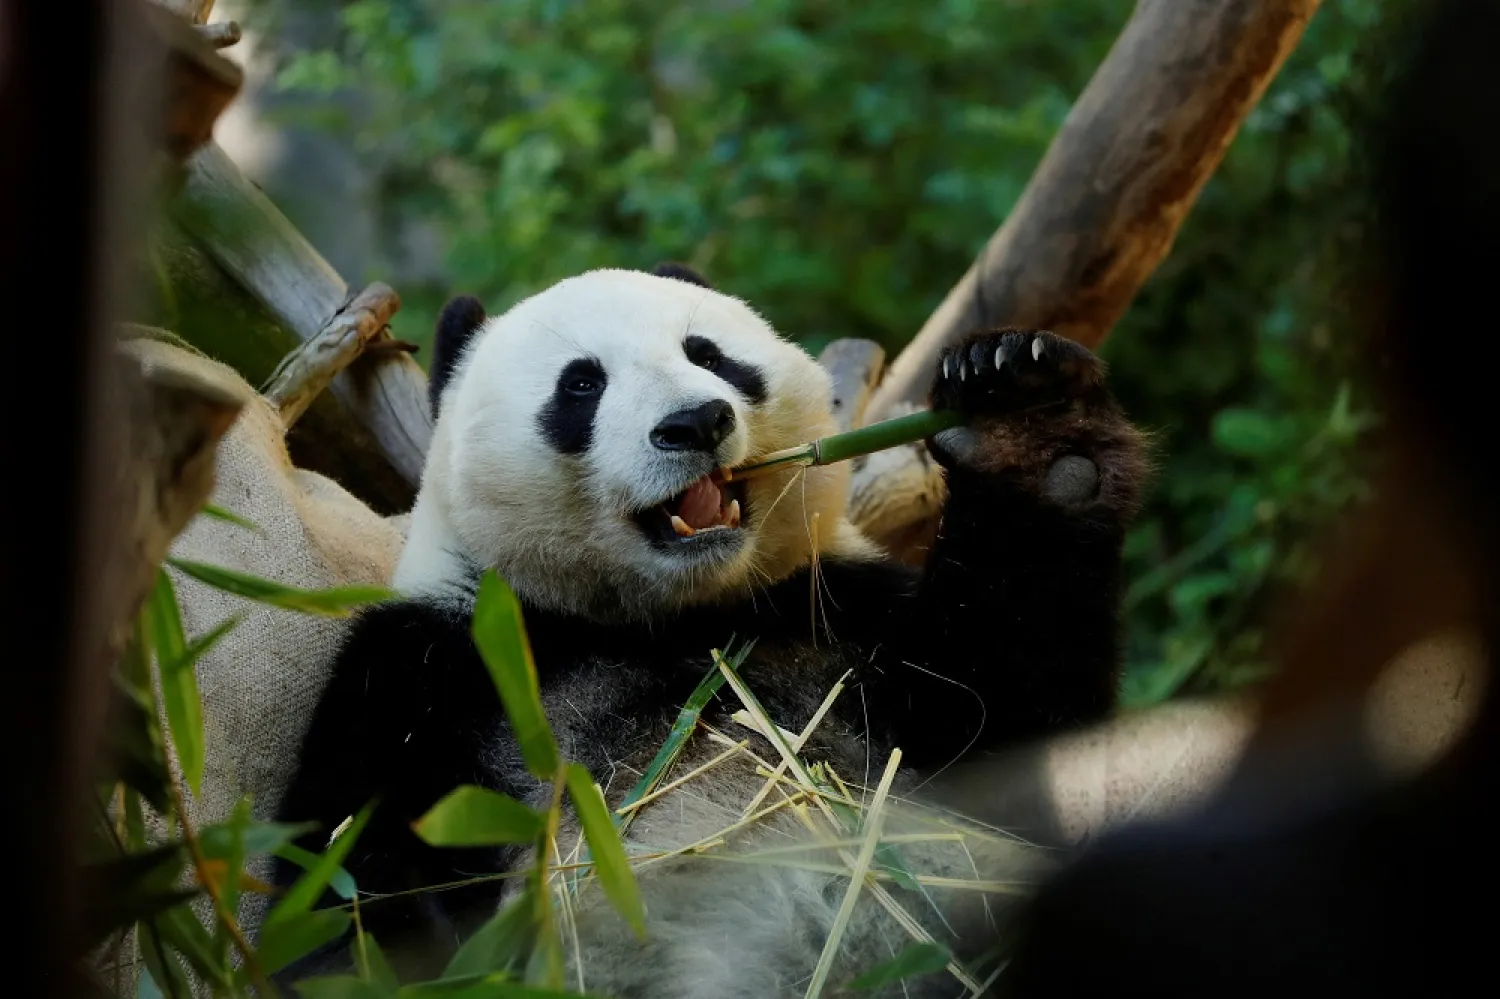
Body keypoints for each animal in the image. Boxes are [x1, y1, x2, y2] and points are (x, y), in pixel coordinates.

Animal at [273, 263, 1148, 996]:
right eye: (581, 383)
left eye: (711, 355)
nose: (695, 421)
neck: (666, 615)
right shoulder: (433, 668)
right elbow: (340, 888)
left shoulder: (834, 606)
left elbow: (1004, 716)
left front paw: (1031, 428)